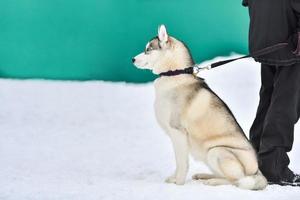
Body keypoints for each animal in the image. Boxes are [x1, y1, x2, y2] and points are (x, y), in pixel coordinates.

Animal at [132, 25, 268, 191]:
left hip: (216, 151)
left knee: (236, 181)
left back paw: (212, 182)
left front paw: (178, 184)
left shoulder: (178, 132)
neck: (174, 74)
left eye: (148, 50)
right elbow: (178, 162)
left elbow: (182, 163)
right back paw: (204, 175)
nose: (132, 59)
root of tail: (257, 170)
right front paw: (174, 179)